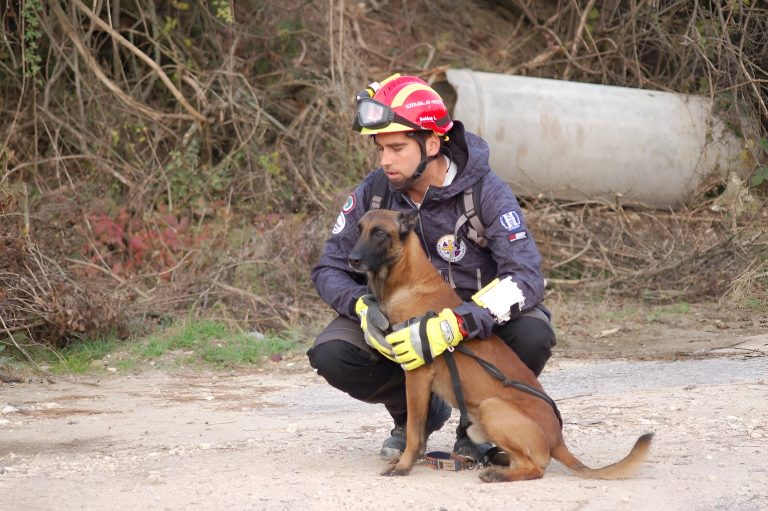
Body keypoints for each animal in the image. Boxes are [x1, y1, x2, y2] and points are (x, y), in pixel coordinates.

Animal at [350, 209, 656, 484]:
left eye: (379, 233)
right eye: (358, 229)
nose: (351, 259)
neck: (407, 280)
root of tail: (557, 439)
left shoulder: (417, 376)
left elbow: (415, 432)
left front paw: (404, 466)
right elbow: (419, 430)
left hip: (491, 408)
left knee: (535, 468)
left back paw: (497, 473)